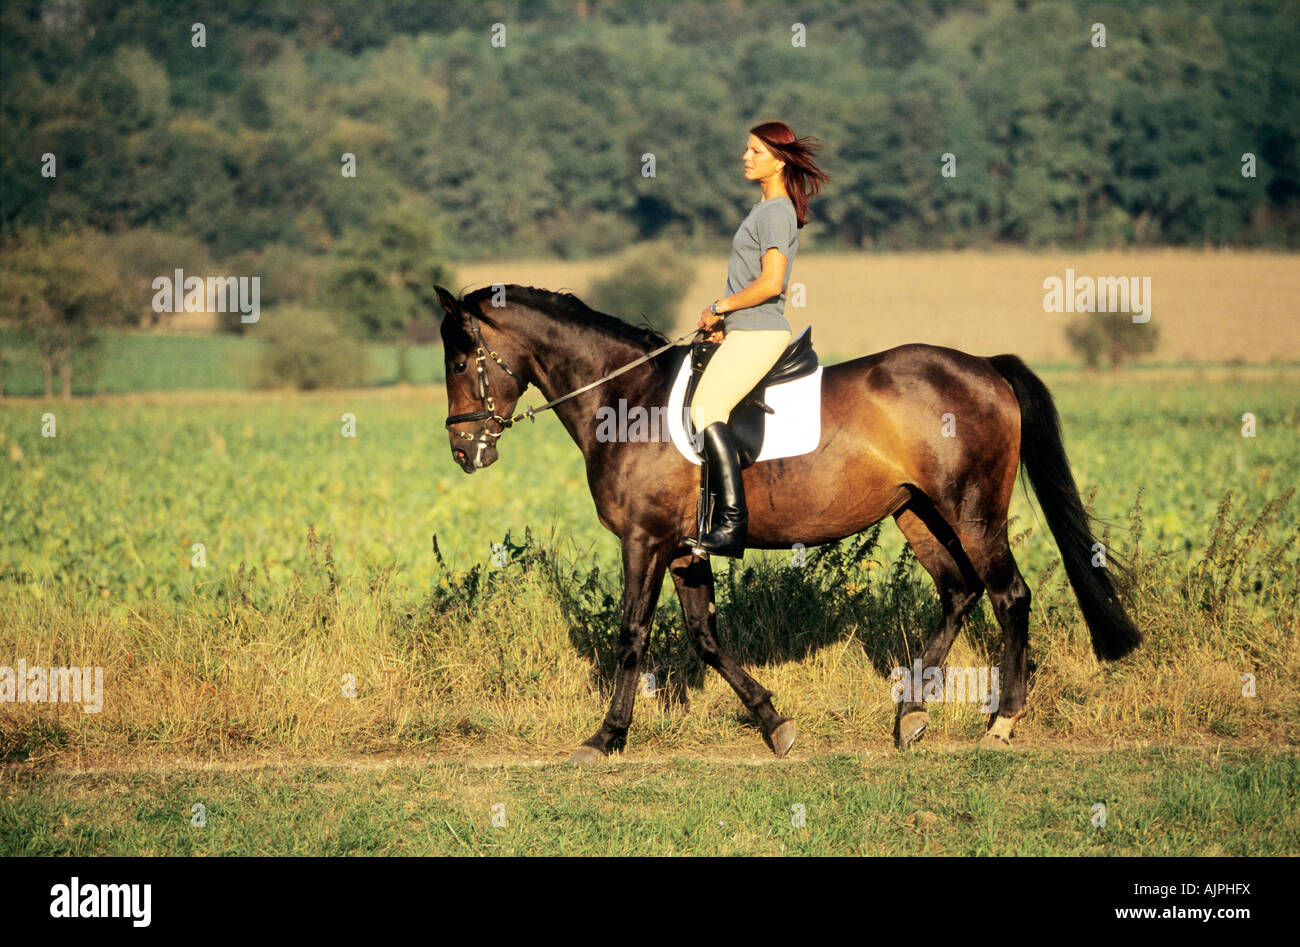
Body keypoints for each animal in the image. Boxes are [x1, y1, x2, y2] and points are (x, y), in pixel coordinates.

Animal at [436, 280, 1138, 759]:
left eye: (459, 359)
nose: (463, 452)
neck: (624, 400)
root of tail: (986, 366)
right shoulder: (685, 549)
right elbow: (705, 636)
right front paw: (774, 723)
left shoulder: (645, 541)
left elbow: (633, 633)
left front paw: (605, 737)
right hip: (918, 511)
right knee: (960, 592)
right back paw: (911, 712)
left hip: (971, 512)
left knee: (1008, 596)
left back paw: (1001, 722)